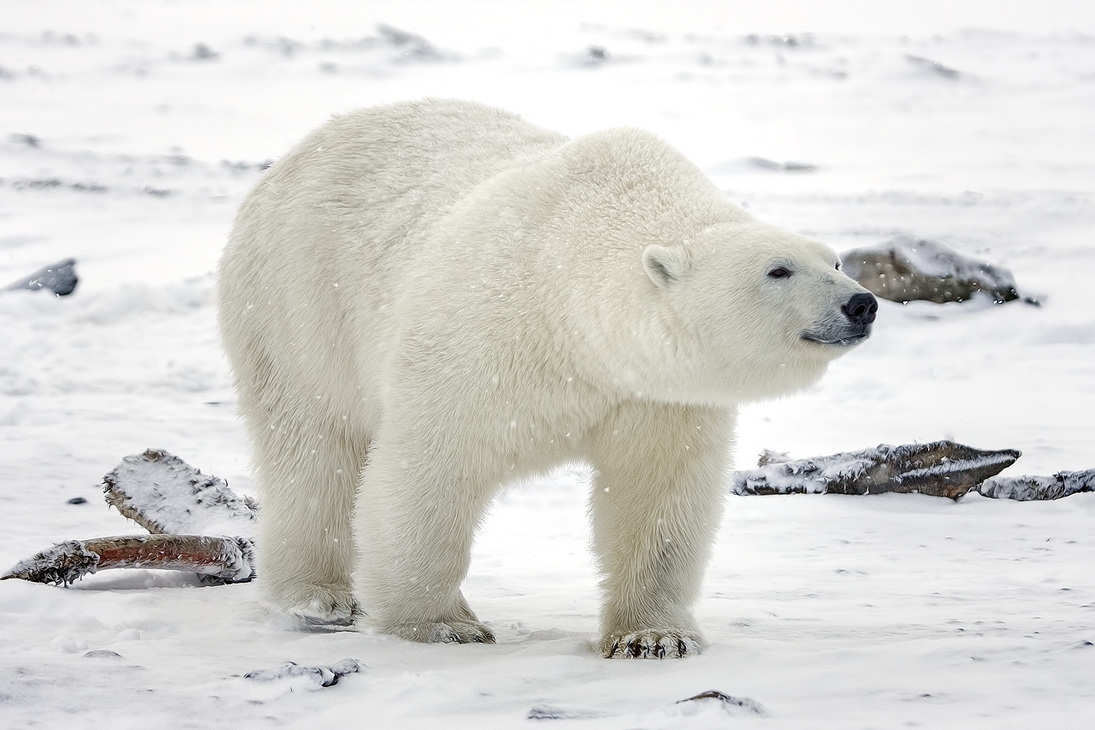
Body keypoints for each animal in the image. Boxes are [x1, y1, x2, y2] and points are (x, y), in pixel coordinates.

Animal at [217, 94, 876, 661]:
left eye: (835, 260)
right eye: (778, 270)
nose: (862, 303)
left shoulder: (656, 395)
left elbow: (657, 496)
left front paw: (654, 637)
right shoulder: (480, 336)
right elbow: (428, 469)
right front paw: (443, 625)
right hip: (296, 302)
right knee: (314, 448)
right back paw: (317, 595)